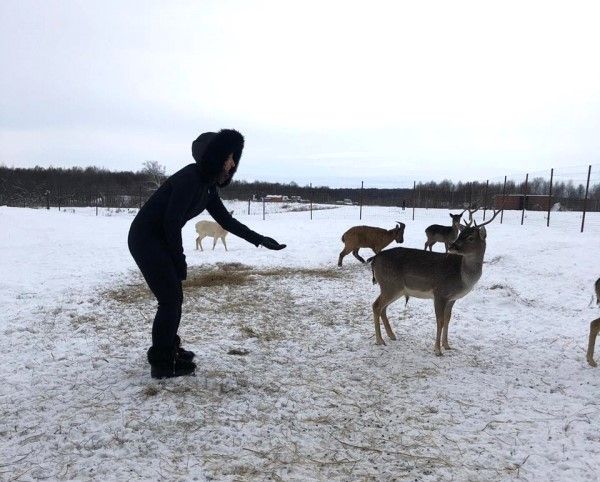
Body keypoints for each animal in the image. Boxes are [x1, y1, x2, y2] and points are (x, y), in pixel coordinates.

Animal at [370, 207, 502, 354]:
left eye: (470, 238)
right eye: (460, 234)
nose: (452, 246)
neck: (463, 277)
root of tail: (374, 259)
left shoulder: (452, 298)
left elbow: (448, 319)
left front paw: (447, 345)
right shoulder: (440, 293)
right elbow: (440, 320)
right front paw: (438, 350)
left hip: (394, 288)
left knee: (383, 308)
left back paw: (391, 335)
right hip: (390, 285)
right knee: (376, 305)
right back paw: (379, 340)